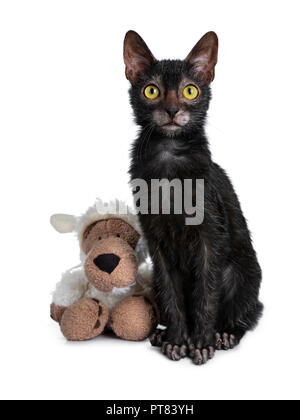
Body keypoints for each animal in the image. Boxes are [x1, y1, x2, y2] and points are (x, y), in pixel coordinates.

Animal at [123, 30, 262, 364]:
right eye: (151, 91)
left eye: (189, 90)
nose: (173, 111)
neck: (169, 158)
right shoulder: (156, 241)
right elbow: (171, 293)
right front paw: (176, 340)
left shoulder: (211, 238)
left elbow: (205, 293)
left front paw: (200, 343)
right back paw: (161, 335)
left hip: (241, 272)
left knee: (246, 315)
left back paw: (224, 334)